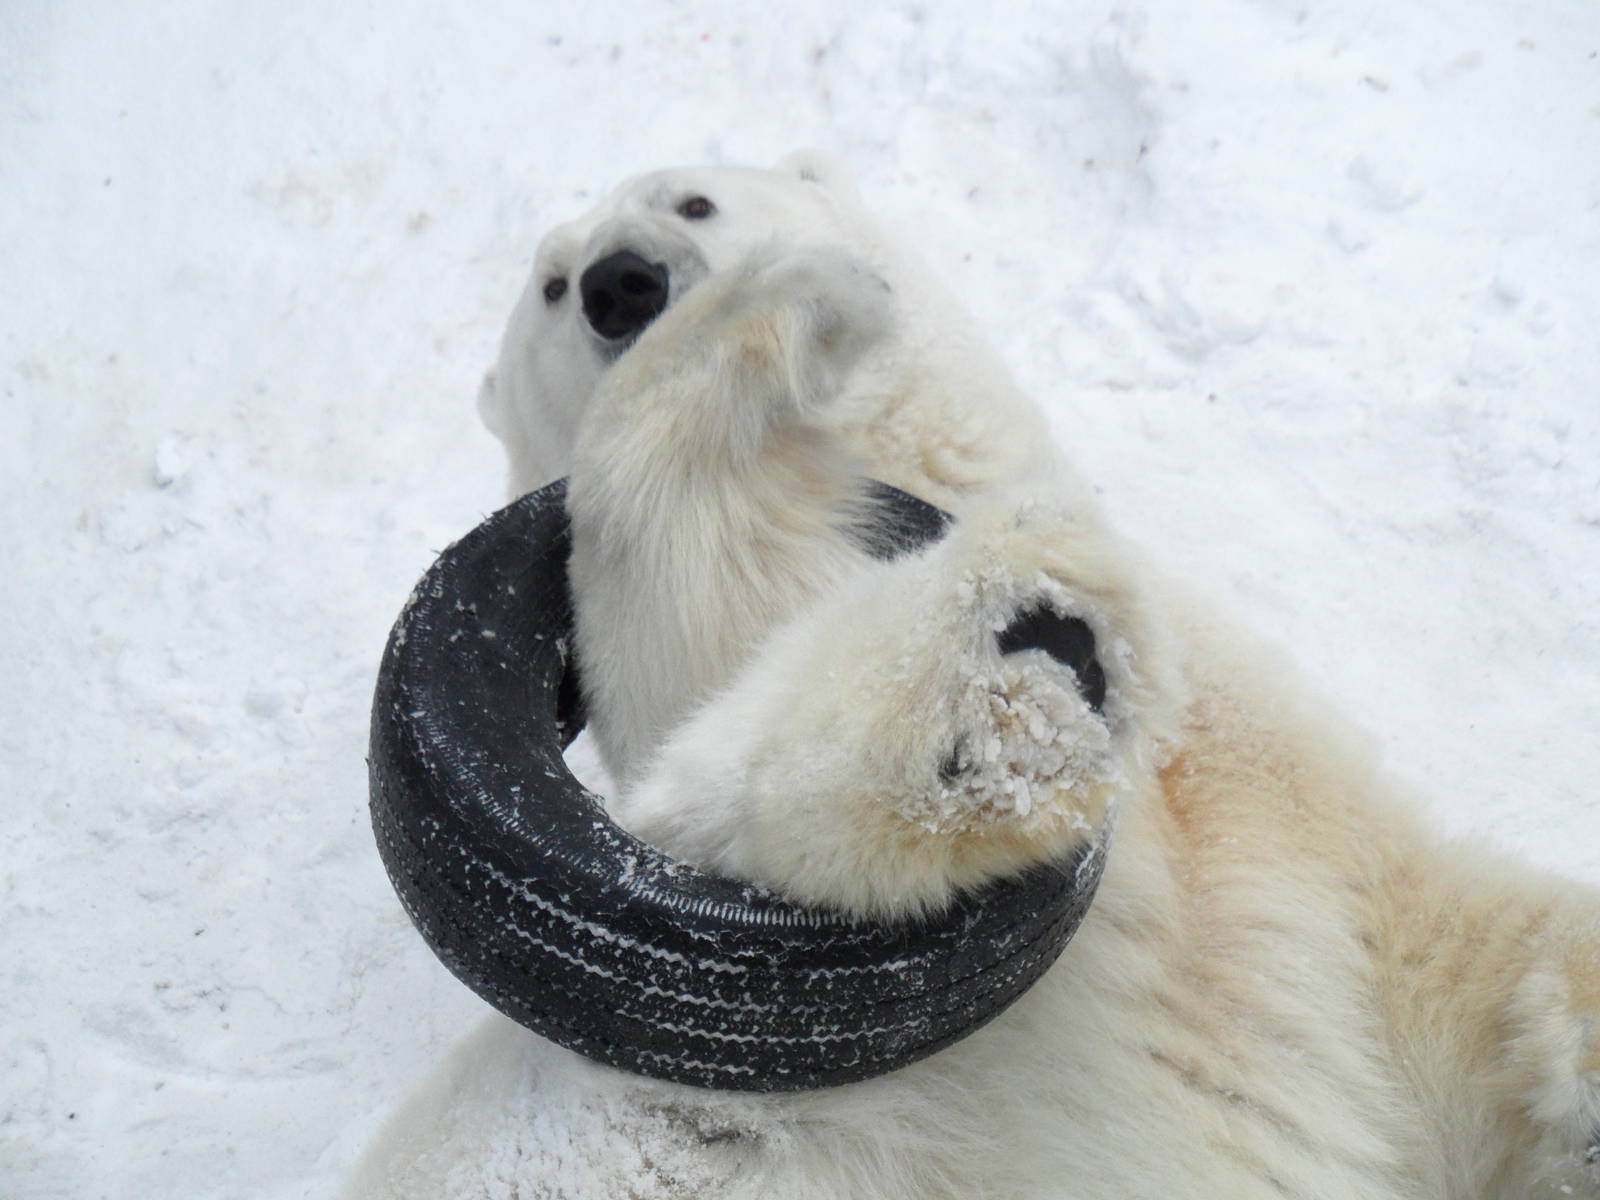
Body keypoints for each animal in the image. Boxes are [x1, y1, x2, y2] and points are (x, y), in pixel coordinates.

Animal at [349, 155, 1600, 1199]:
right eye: (552, 285)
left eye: (691, 199)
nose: (623, 281)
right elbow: (713, 628)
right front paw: (996, 670)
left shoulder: (1296, 846)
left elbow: (1454, 975)